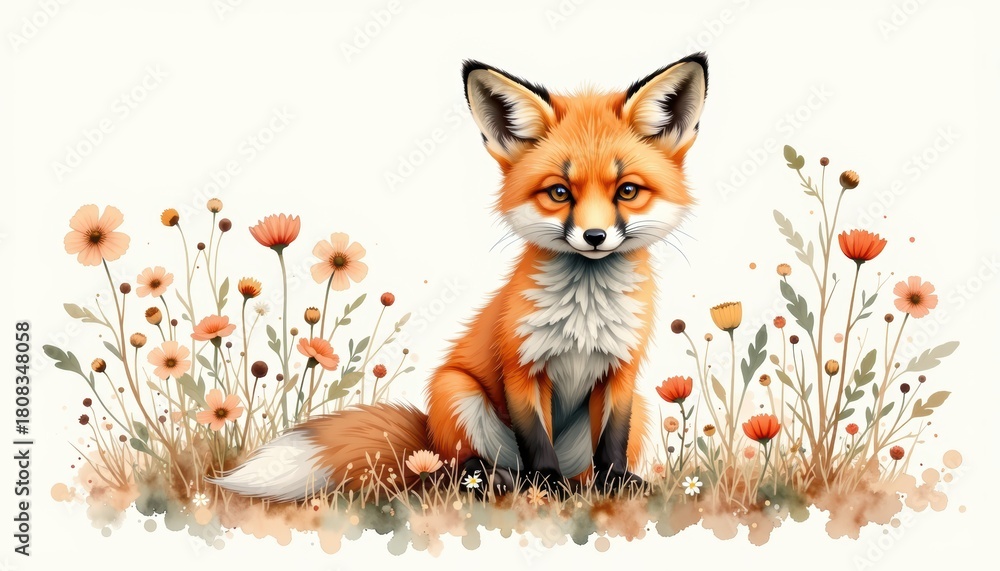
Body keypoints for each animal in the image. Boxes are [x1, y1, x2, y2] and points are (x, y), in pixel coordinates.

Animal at [211, 53, 708, 501]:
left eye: (627, 191)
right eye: (558, 192)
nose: (594, 236)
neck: (584, 313)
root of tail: (428, 438)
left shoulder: (621, 373)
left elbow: (612, 443)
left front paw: (616, 484)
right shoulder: (521, 368)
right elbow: (536, 441)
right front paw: (545, 487)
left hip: (638, 406)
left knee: (574, 468)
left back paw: (574, 484)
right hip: (458, 391)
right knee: (456, 467)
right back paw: (496, 481)